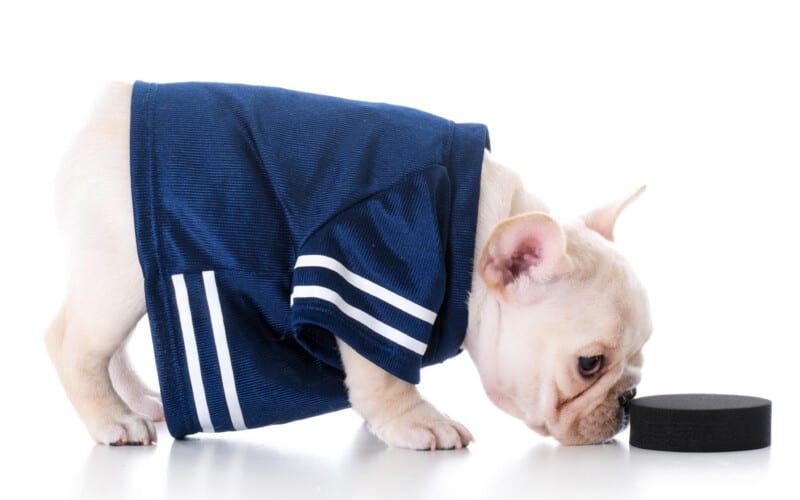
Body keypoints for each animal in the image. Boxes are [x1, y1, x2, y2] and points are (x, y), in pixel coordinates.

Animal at [45, 81, 648, 450]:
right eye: (590, 364)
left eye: (640, 355)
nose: (629, 400)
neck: (478, 228)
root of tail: (106, 107)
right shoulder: (372, 271)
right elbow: (383, 373)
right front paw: (418, 423)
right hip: (120, 272)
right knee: (74, 344)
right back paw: (113, 419)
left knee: (113, 347)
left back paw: (141, 401)